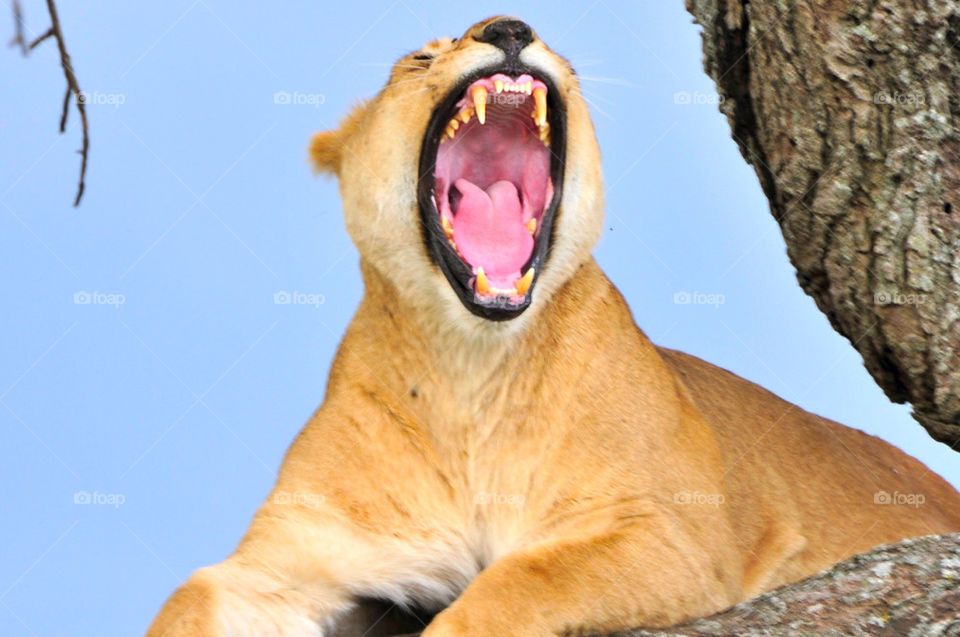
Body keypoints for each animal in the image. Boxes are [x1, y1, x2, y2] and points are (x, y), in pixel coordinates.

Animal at [146, 16, 960, 637]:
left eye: (550, 47)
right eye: (418, 60)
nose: (508, 28)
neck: (471, 368)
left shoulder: (671, 532)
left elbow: (521, 580)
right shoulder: (295, 554)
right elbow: (192, 596)